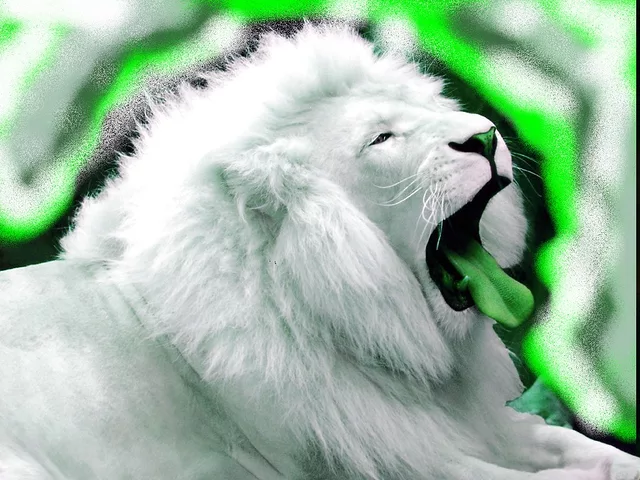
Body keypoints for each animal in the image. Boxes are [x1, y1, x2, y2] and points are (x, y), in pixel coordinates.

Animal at [0, 23, 638, 480]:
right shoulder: (394, 459)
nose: (485, 136)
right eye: (381, 138)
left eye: (422, 110)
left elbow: (578, 446)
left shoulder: (461, 427)